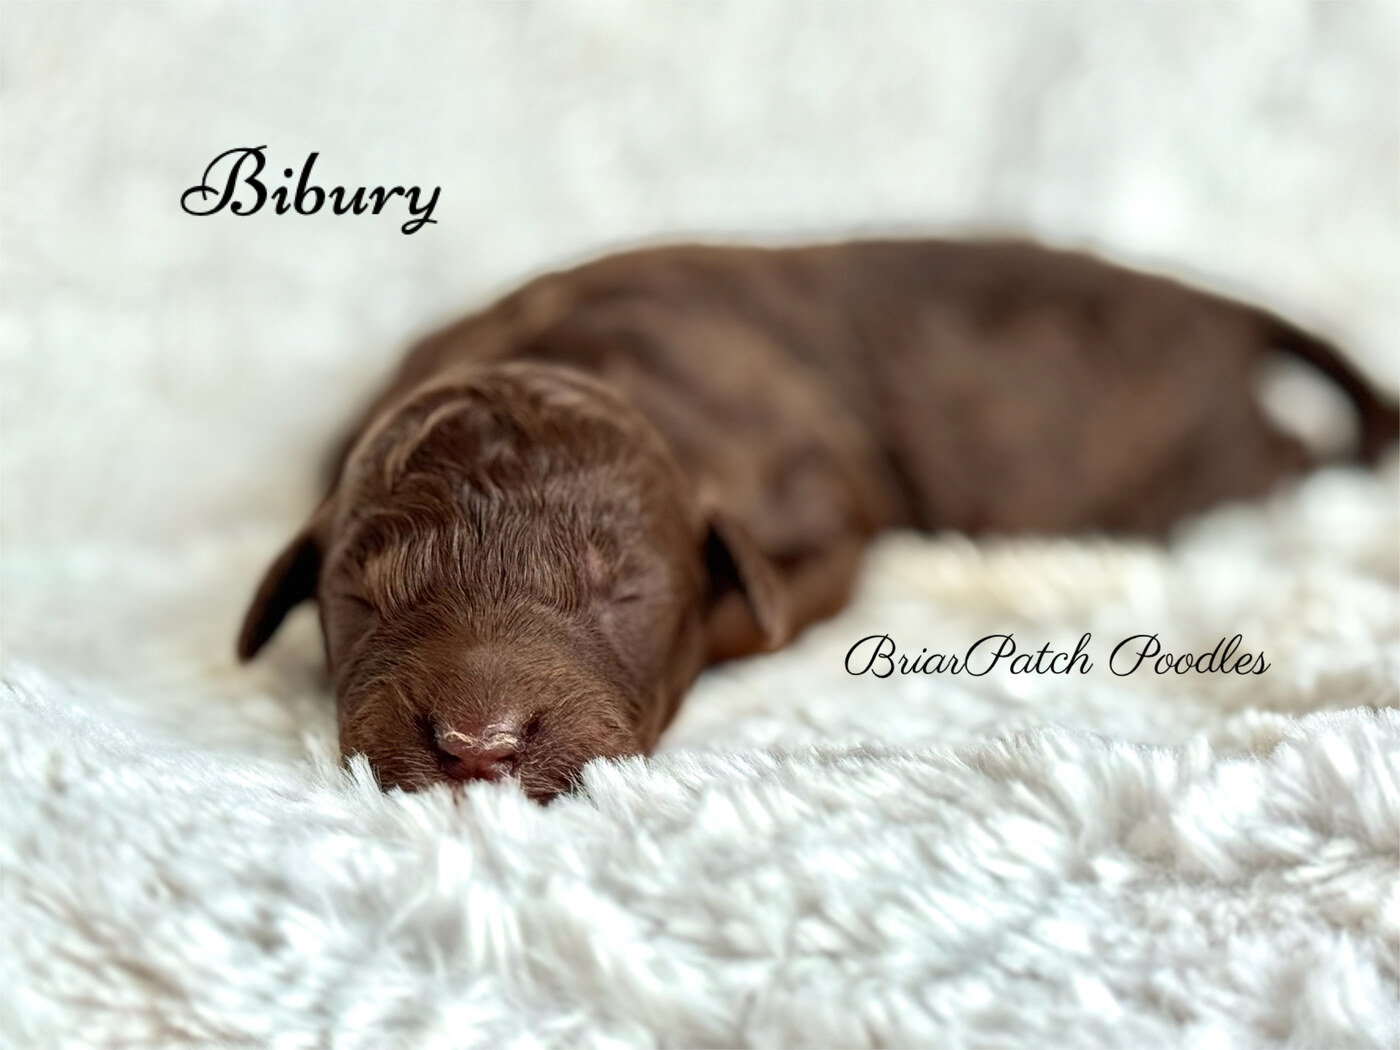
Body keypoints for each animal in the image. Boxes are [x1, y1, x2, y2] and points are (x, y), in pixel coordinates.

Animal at [237, 240, 1399, 800]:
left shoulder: (822, 506)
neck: (573, 351)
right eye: (363, 593)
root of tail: (1215, 308)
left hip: (1205, 448)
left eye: (625, 590)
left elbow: (761, 604)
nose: (478, 749)